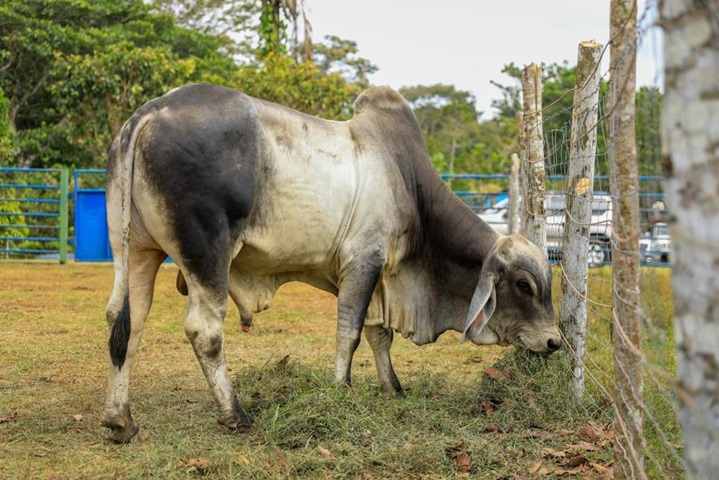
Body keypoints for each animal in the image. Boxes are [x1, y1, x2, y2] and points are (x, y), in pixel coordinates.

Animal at [102, 83, 564, 442]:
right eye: (524, 285)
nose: (554, 342)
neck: (410, 185)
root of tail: (150, 112)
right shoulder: (363, 262)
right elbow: (351, 333)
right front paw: (341, 390)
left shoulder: (381, 276)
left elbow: (380, 336)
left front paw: (392, 387)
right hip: (208, 256)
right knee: (204, 330)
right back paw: (234, 414)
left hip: (135, 250)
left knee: (127, 322)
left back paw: (120, 420)